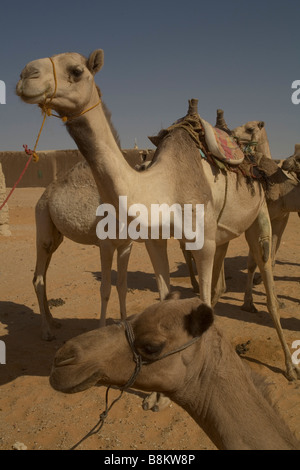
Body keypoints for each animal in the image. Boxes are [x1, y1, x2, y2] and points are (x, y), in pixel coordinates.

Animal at [16, 48, 300, 382]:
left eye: (76, 70)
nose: (26, 75)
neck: (162, 186)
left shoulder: (200, 241)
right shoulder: (153, 240)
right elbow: (164, 297)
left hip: (258, 218)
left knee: (265, 278)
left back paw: (289, 366)